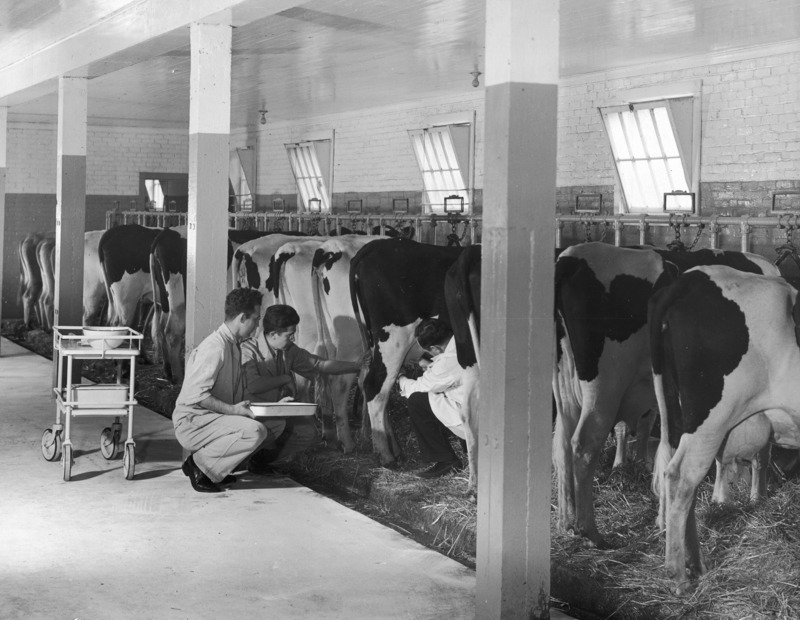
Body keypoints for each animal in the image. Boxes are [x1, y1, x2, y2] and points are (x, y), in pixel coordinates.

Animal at [552, 242, 780, 548]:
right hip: (604, 389)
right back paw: (591, 531)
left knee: (563, 444)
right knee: (583, 445)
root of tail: (571, 258)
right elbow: (758, 450)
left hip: (565, 387)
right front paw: (755, 496)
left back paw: (566, 521)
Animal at [648, 264, 800, 592]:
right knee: (680, 477)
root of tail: (692, 277)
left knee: (687, 487)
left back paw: (696, 565)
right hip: (710, 419)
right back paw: (679, 576)